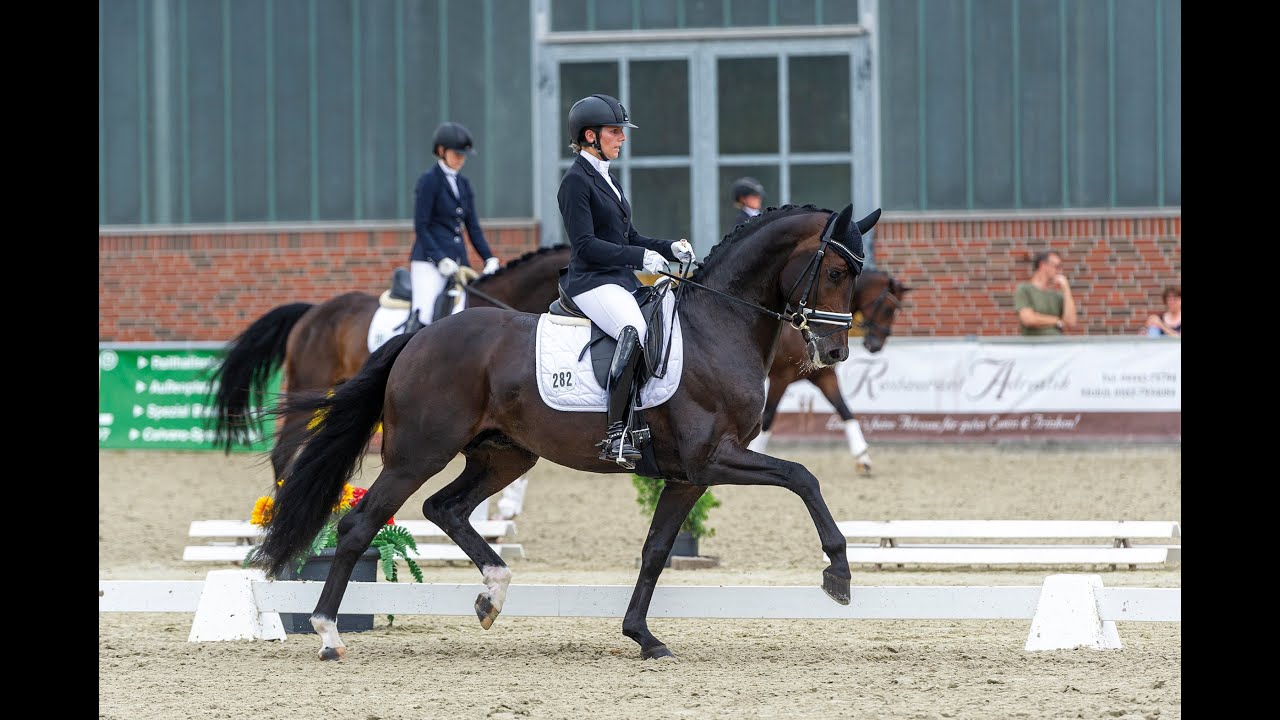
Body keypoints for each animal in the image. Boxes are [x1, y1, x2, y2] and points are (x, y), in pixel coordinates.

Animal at [254, 202, 879, 661]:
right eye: (835, 271)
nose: (835, 353)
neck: (717, 327)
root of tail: (421, 336)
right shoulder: (711, 459)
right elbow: (802, 476)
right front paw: (839, 574)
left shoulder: (688, 476)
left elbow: (655, 550)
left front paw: (642, 637)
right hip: (417, 454)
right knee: (359, 522)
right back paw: (328, 632)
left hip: (503, 455)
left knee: (444, 509)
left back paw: (493, 593)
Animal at [750, 270, 911, 474]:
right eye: (888, 310)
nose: (875, 346)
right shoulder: (781, 378)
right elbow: (768, 417)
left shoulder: (824, 376)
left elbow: (844, 410)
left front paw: (862, 457)